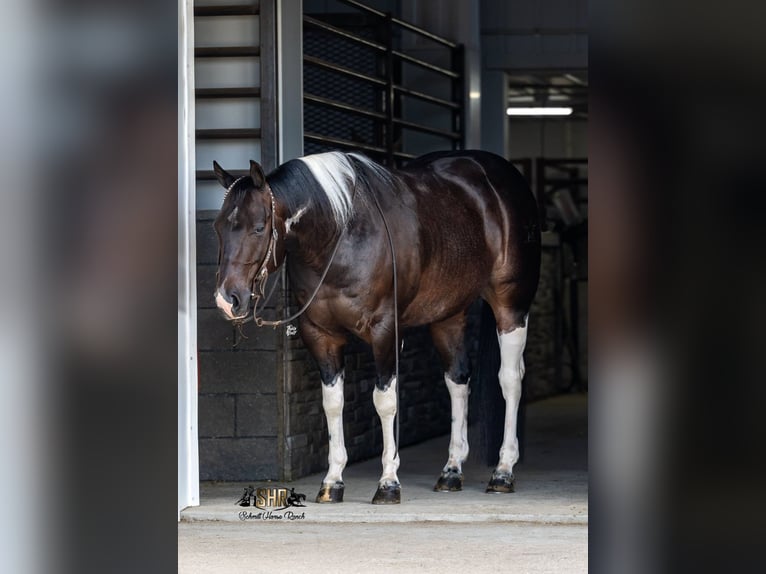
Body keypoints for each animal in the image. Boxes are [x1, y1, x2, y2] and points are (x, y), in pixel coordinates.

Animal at [212, 150, 541, 505]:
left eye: (259, 228)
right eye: (217, 227)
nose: (227, 300)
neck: (340, 235)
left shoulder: (385, 332)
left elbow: (385, 402)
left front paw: (388, 483)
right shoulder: (321, 335)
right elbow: (332, 403)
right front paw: (332, 482)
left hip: (511, 307)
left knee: (510, 380)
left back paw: (503, 472)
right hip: (448, 315)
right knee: (457, 381)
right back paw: (451, 471)